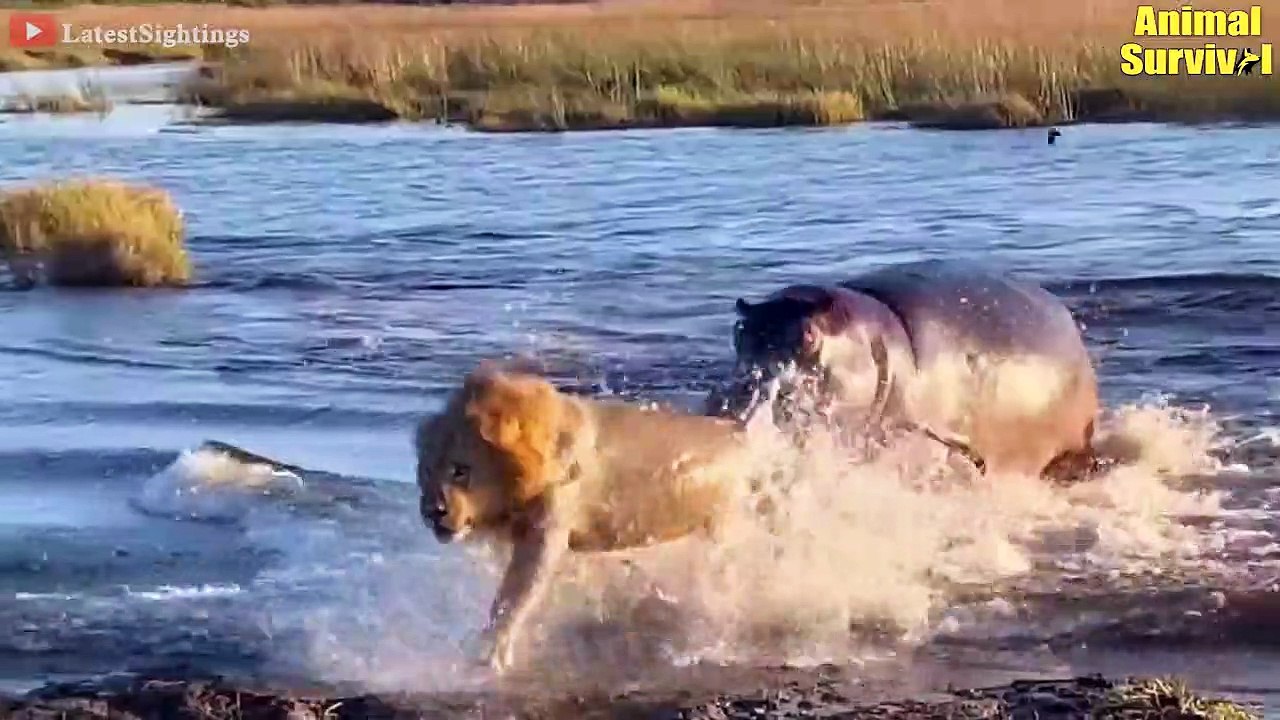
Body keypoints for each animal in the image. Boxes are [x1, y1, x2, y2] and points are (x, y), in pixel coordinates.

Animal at [414, 361, 752, 673]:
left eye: (460, 471)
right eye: (427, 471)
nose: (432, 513)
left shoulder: (546, 533)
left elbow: (512, 601)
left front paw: (491, 656)